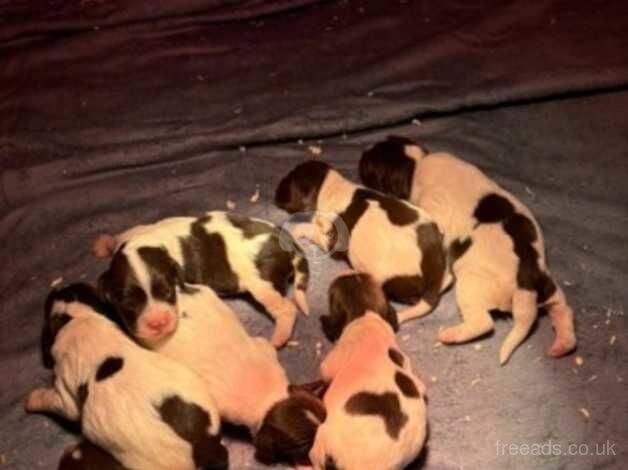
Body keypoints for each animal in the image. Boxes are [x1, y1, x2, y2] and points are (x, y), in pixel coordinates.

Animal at [26, 282, 231, 470]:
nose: (58, 286)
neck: (76, 316)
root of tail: (202, 445)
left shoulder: (64, 392)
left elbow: (56, 402)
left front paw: (31, 399)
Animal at [94, 211, 308, 346]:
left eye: (168, 291)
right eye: (128, 303)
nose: (158, 323)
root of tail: (285, 240)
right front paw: (106, 243)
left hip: (261, 283)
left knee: (286, 308)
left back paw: (279, 337)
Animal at [274, 161, 452, 324]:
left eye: (288, 183)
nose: (275, 195)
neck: (332, 188)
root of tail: (434, 267)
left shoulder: (331, 239)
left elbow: (313, 230)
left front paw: (298, 229)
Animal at [360, 136, 576, 364]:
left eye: (371, 165)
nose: (362, 153)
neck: (418, 163)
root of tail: (525, 285)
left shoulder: (432, 203)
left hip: (470, 286)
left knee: (483, 323)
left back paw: (450, 334)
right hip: (548, 287)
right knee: (563, 308)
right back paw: (563, 343)